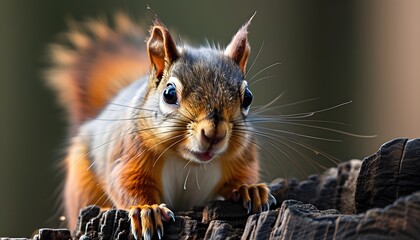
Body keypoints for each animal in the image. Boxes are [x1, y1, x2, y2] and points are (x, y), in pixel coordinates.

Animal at [46, 13, 276, 240]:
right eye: (169, 94)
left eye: (248, 97)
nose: (214, 134)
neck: (188, 161)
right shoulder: (129, 154)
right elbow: (126, 184)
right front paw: (146, 210)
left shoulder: (241, 157)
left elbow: (240, 178)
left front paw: (249, 189)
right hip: (81, 179)